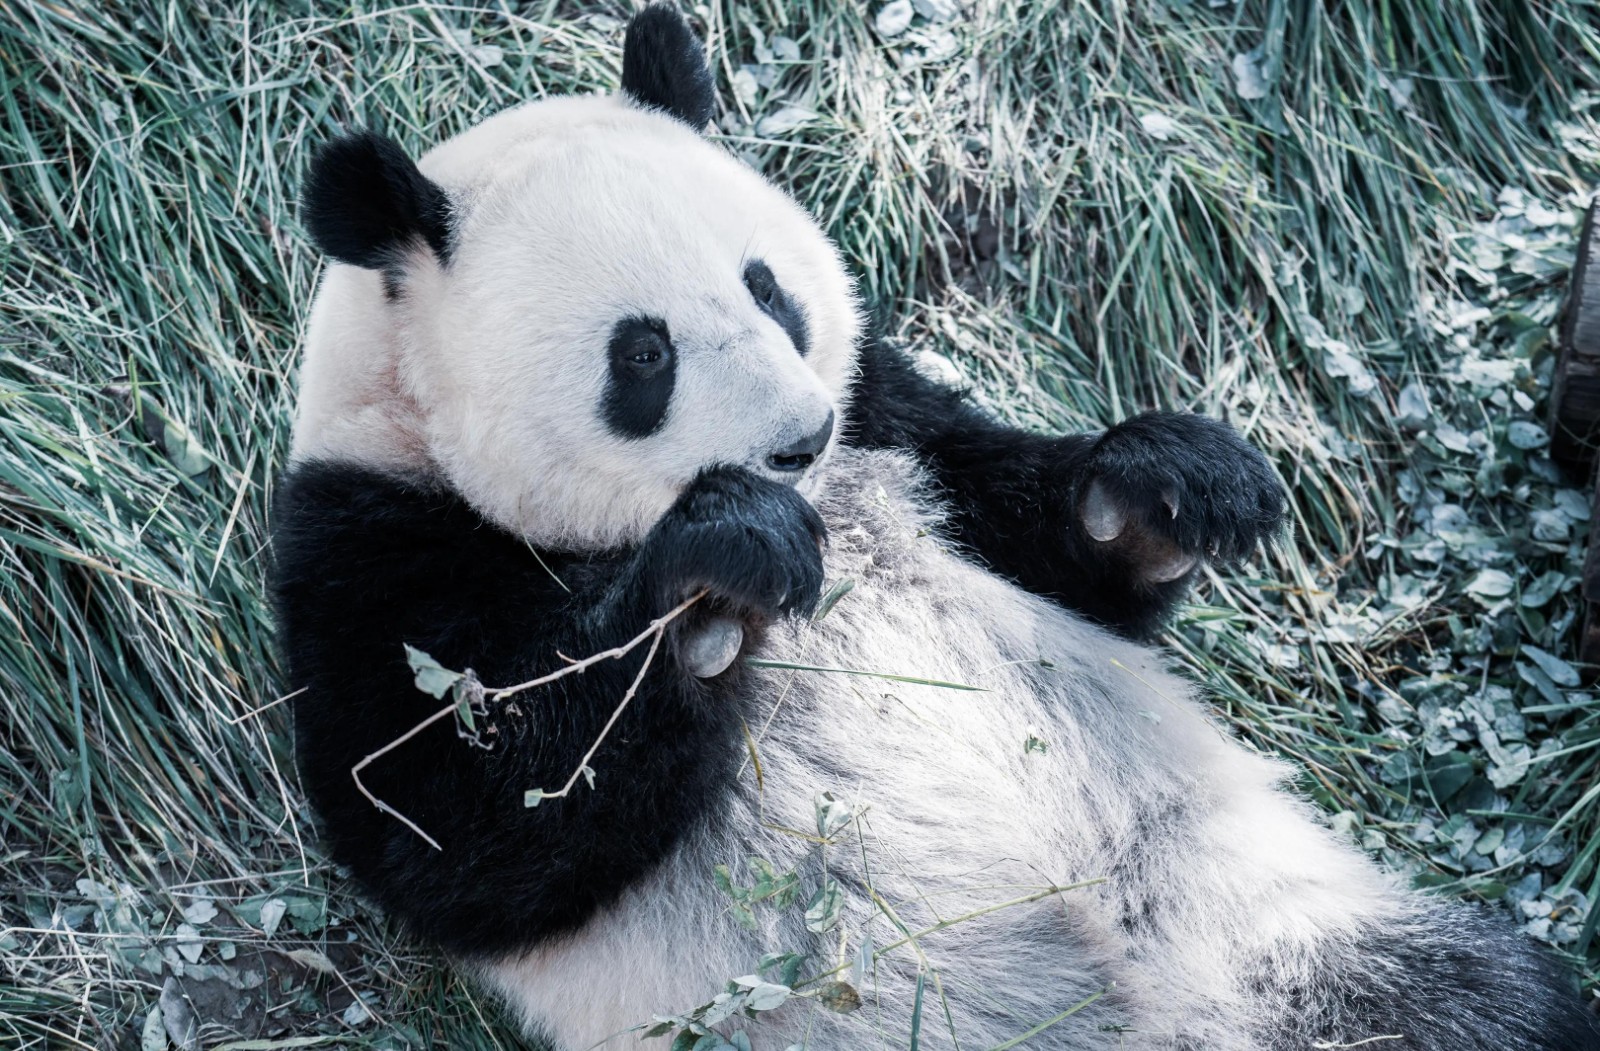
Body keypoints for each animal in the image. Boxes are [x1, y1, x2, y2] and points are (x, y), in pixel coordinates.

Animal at [270, 5, 1599, 1049]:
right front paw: (718, 570)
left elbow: (1052, 542)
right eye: (640, 354)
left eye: (766, 287)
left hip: (1263, 931)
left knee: (1486, 1001)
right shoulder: (368, 545)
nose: (798, 441)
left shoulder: (889, 417)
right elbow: (462, 829)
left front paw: (1172, 480)